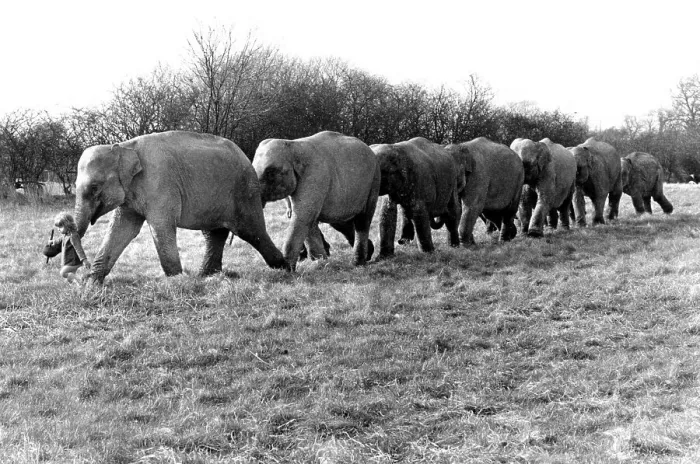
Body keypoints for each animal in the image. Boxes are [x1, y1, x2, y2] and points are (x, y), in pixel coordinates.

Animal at [74, 130, 288, 284]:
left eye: (94, 187)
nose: (83, 268)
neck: (124, 147)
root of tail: (245, 156)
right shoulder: (130, 194)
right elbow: (122, 229)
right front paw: (91, 283)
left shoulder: (159, 184)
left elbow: (161, 227)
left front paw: (177, 281)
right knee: (214, 233)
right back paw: (207, 276)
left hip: (244, 191)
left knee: (250, 231)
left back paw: (285, 268)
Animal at [252, 131, 380, 270]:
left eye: (270, 173)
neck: (292, 146)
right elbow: (308, 219)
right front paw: (321, 263)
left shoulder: (315, 176)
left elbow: (303, 216)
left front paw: (287, 269)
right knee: (340, 222)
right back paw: (369, 253)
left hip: (373, 181)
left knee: (363, 219)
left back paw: (358, 263)